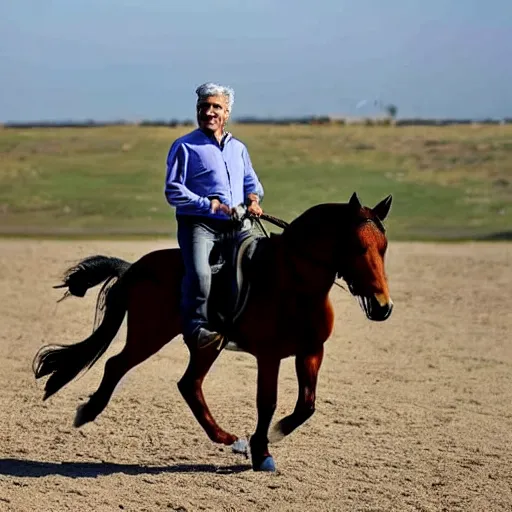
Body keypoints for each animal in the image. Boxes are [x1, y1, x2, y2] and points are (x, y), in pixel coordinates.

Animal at [33, 192, 392, 472]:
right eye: (357, 247)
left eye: (384, 247)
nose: (382, 306)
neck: (293, 285)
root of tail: (135, 268)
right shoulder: (269, 355)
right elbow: (267, 402)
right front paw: (261, 450)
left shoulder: (311, 351)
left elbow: (307, 404)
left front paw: (273, 435)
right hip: (150, 335)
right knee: (117, 365)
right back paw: (87, 412)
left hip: (205, 344)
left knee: (189, 384)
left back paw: (225, 438)